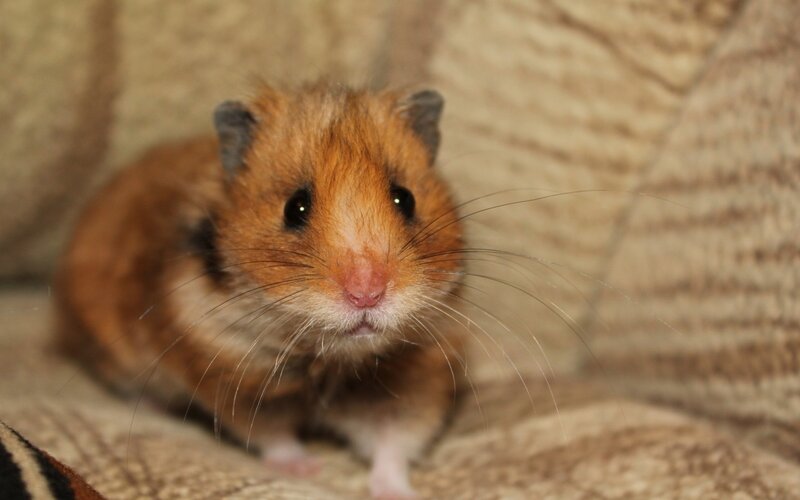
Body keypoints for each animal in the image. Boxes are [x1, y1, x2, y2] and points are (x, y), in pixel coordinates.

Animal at [56, 83, 465, 499]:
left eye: (405, 198)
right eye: (294, 207)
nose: (366, 294)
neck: (329, 361)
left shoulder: (415, 378)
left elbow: (393, 446)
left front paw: (397, 492)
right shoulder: (234, 379)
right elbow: (274, 435)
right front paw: (307, 469)